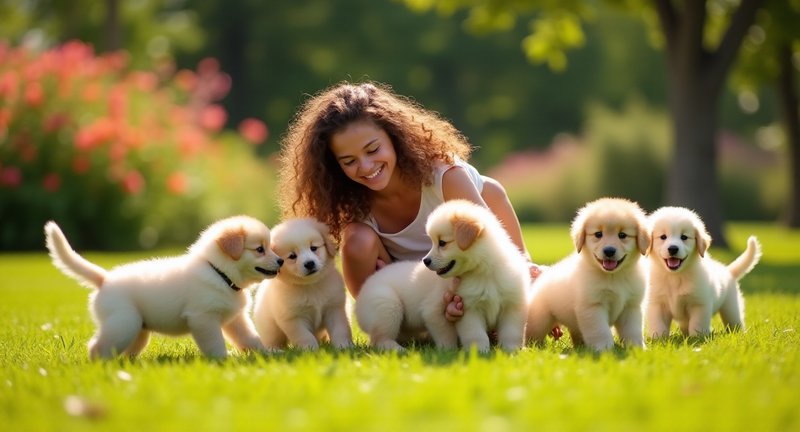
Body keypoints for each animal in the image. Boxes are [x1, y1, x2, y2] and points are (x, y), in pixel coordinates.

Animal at [43, 216, 282, 362]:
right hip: (124, 323)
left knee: (126, 351)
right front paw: (222, 358)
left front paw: (269, 352)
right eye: (260, 249)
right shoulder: (203, 318)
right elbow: (215, 342)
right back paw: (100, 366)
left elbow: (250, 338)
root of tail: (105, 278)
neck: (219, 272)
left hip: (137, 331)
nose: (281, 261)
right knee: (97, 347)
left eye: (270, 247)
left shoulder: (235, 319)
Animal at [253, 218, 354, 350]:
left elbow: (340, 329)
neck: (310, 285)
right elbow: (304, 335)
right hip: (270, 328)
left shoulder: (335, 308)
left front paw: (344, 346)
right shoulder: (293, 319)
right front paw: (310, 350)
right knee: (272, 340)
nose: (309, 263)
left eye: (313, 248)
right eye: (292, 256)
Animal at [524, 198, 648, 352]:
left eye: (622, 235)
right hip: (539, 318)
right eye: (598, 234)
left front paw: (637, 348)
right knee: (533, 334)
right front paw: (605, 349)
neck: (613, 276)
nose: (609, 251)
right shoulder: (593, 307)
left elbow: (633, 330)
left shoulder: (631, 306)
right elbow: (600, 330)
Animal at [644, 206, 764, 338]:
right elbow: (658, 324)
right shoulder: (657, 304)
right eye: (663, 237)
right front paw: (659, 338)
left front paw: (697, 338)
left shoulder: (699, 304)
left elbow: (697, 324)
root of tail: (728, 271)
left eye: (684, 237)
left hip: (731, 308)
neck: (675, 277)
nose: (673, 249)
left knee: (735, 322)